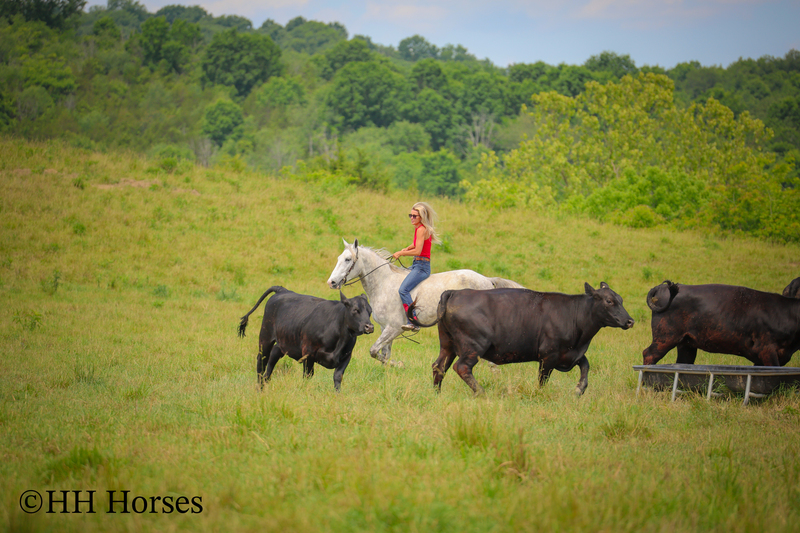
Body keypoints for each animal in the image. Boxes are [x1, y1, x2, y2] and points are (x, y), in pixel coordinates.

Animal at [326, 239, 524, 365]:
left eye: (348, 259)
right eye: (338, 258)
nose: (332, 282)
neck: (383, 283)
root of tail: (487, 280)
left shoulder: (395, 328)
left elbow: (375, 352)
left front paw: (399, 364)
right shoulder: (385, 328)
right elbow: (383, 355)